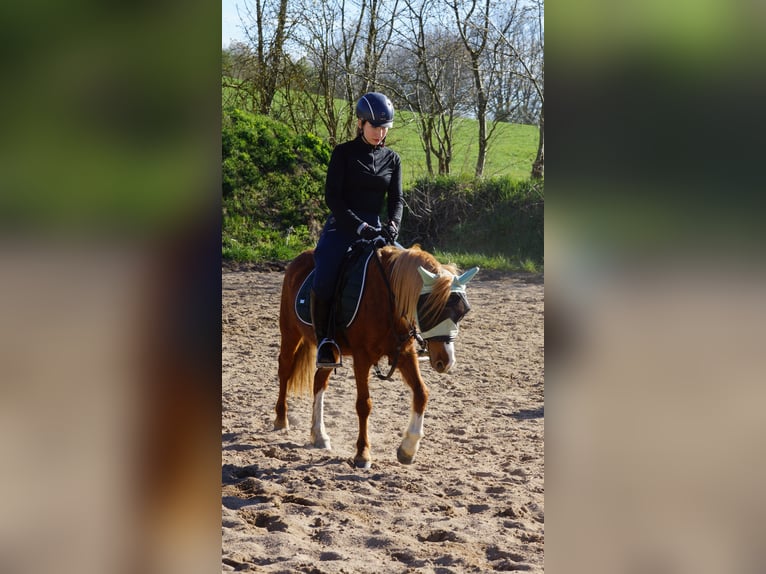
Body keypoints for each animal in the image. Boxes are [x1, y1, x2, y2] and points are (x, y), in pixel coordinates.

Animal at [274, 242, 478, 468]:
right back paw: (281, 420)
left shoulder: (405, 354)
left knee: (319, 381)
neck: (388, 298)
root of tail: (299, 258)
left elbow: (421, 393)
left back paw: (319, 435)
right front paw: (362, 454)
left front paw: (408, 448)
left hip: (330, 352)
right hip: (290, 332)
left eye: (463, 312)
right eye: (430, 310)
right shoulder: (362, 357)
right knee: (285, 369)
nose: (446, 361)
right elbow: (364, 404)